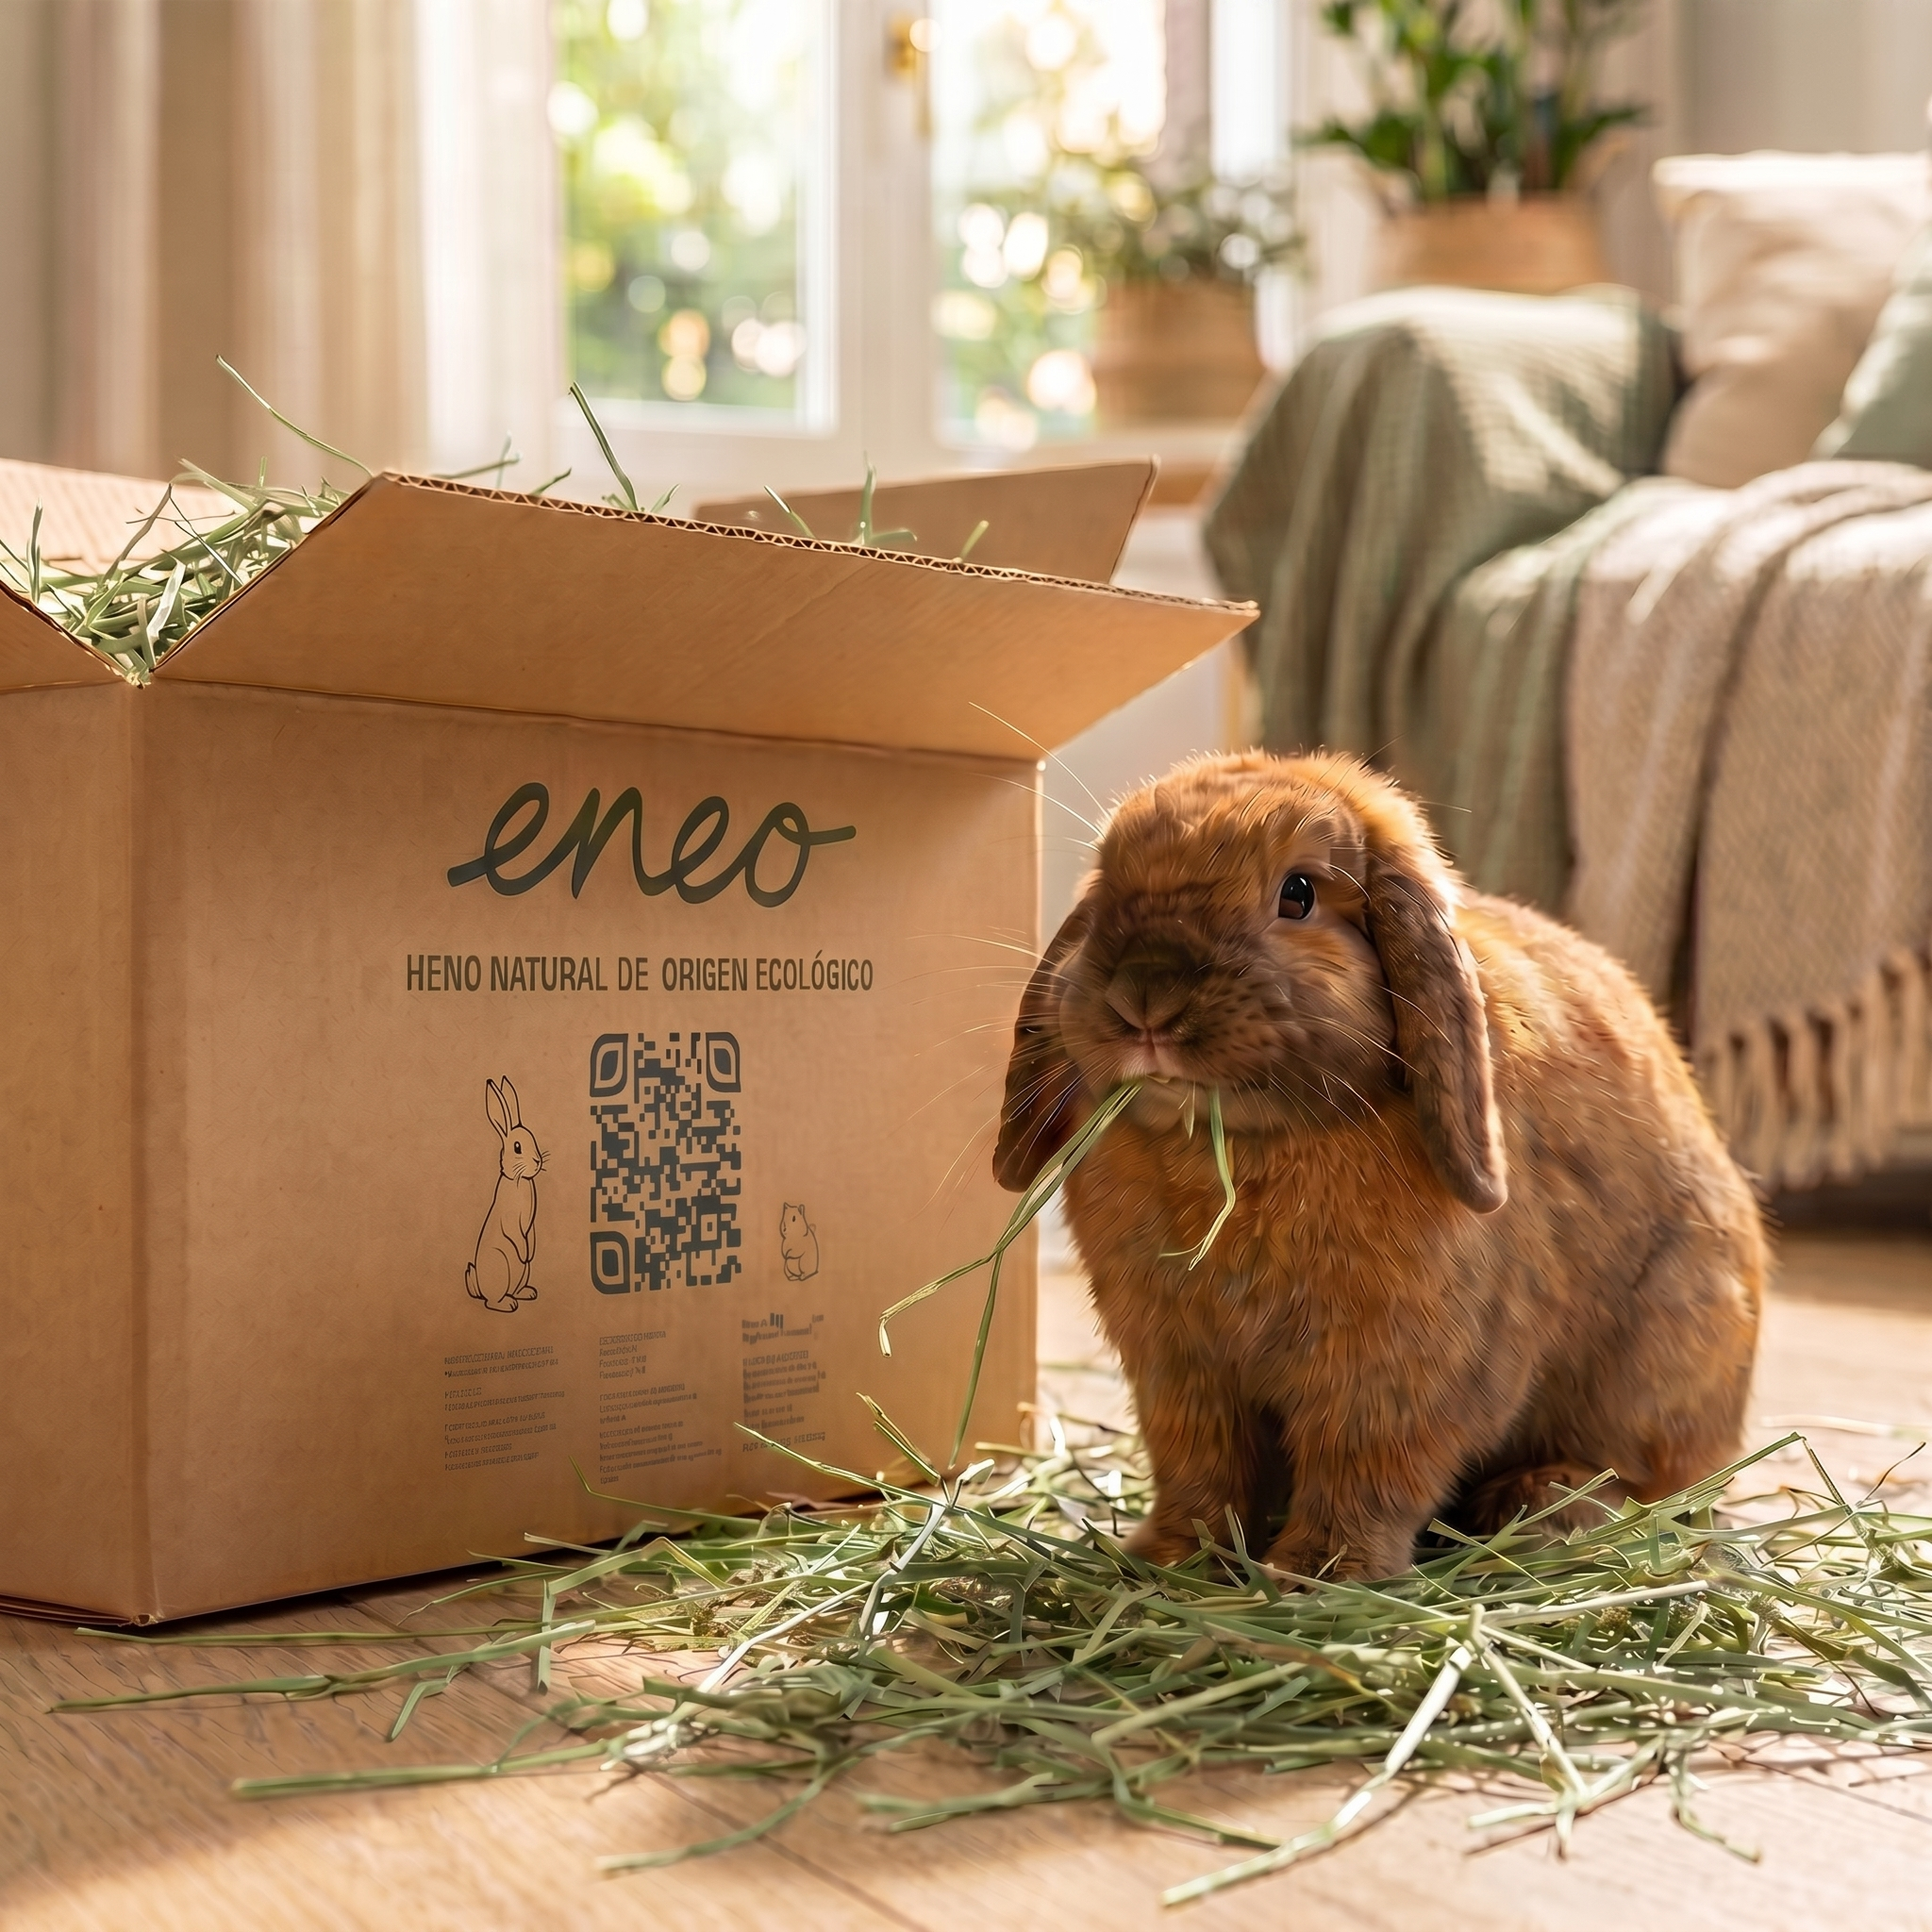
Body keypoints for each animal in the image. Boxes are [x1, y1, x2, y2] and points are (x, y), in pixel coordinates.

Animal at [466, 1077, 544, 1314]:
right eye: (517, 1147)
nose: (538, 1162)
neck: (518, 1178)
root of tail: (479, 1289)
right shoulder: (511, 1220)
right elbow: (515, 1234)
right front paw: (525, 1252)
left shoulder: (530, 1224)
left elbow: (530, 1234)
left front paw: (530, 1251)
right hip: (500, 1267)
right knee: (492, 1301)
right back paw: (508, 1304)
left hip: (523, 1273)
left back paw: (527, 1293)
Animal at [995, 751, 1764, 1581]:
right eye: (1107, 883)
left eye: (1298, 893)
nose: (1145, 997)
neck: (1235, 1150)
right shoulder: (1181, 1371)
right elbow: (1203, 1471)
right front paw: (1172, 1559)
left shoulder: (1398, 1375)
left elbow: (1365, 1474)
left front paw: (1315, 1576)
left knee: (1650, 1483)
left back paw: (1546, 1509)